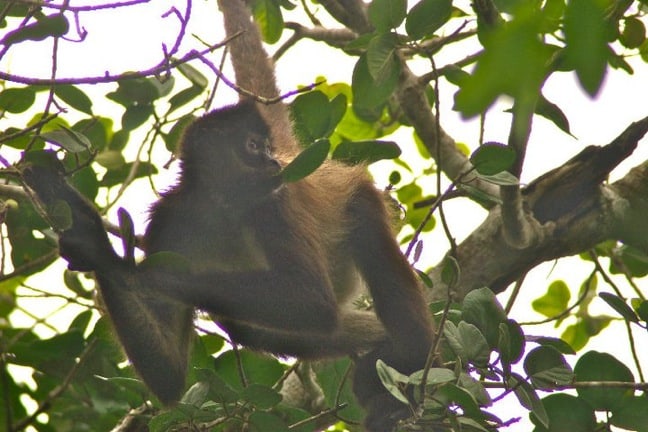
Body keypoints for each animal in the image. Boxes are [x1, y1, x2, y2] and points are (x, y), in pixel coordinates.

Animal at [21, 1, 436, 430]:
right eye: (253, 146)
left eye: (264, 146)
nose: (273, 161)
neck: (221, 207)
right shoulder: (167, 224)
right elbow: (170, 378)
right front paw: (93, 242)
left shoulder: (273, 200)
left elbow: (311, 300)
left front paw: (148, 274)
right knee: (262, 328)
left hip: (355, 201)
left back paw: (408, 372)